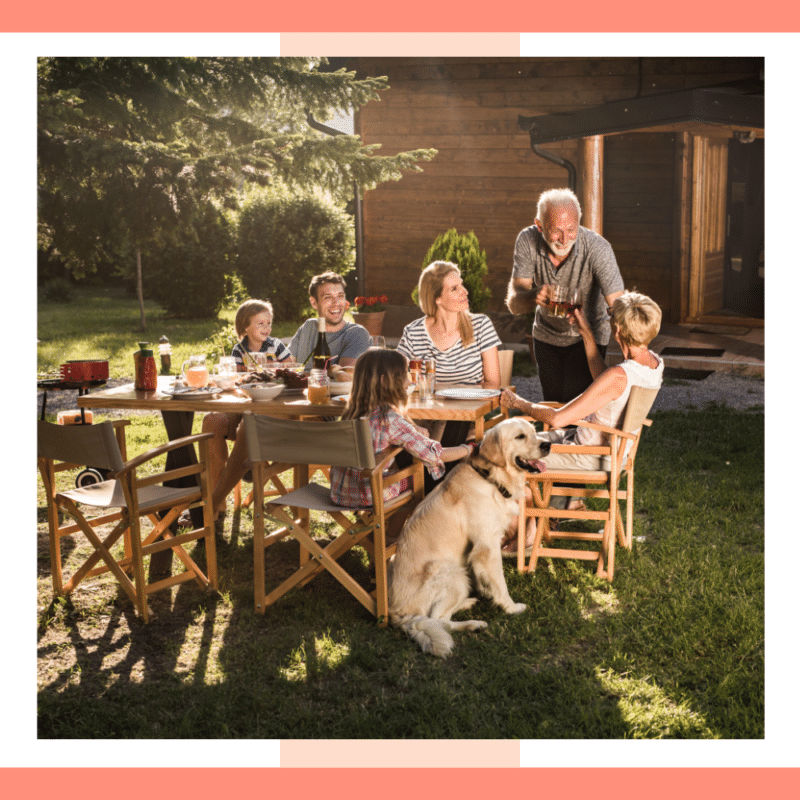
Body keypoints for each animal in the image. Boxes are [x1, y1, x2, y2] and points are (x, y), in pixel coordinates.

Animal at [388, 418, 552, 656]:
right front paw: (511, 608)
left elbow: (485, 574)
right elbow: (500, 582)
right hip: (452, 573)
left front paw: (486, 590)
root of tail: (397, 613)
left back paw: (467, 603)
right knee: (438, 620)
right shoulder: (487, 545)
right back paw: (474, 623)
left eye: (534, 431)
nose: (548, 445)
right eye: (520, 436)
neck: (490, 477)